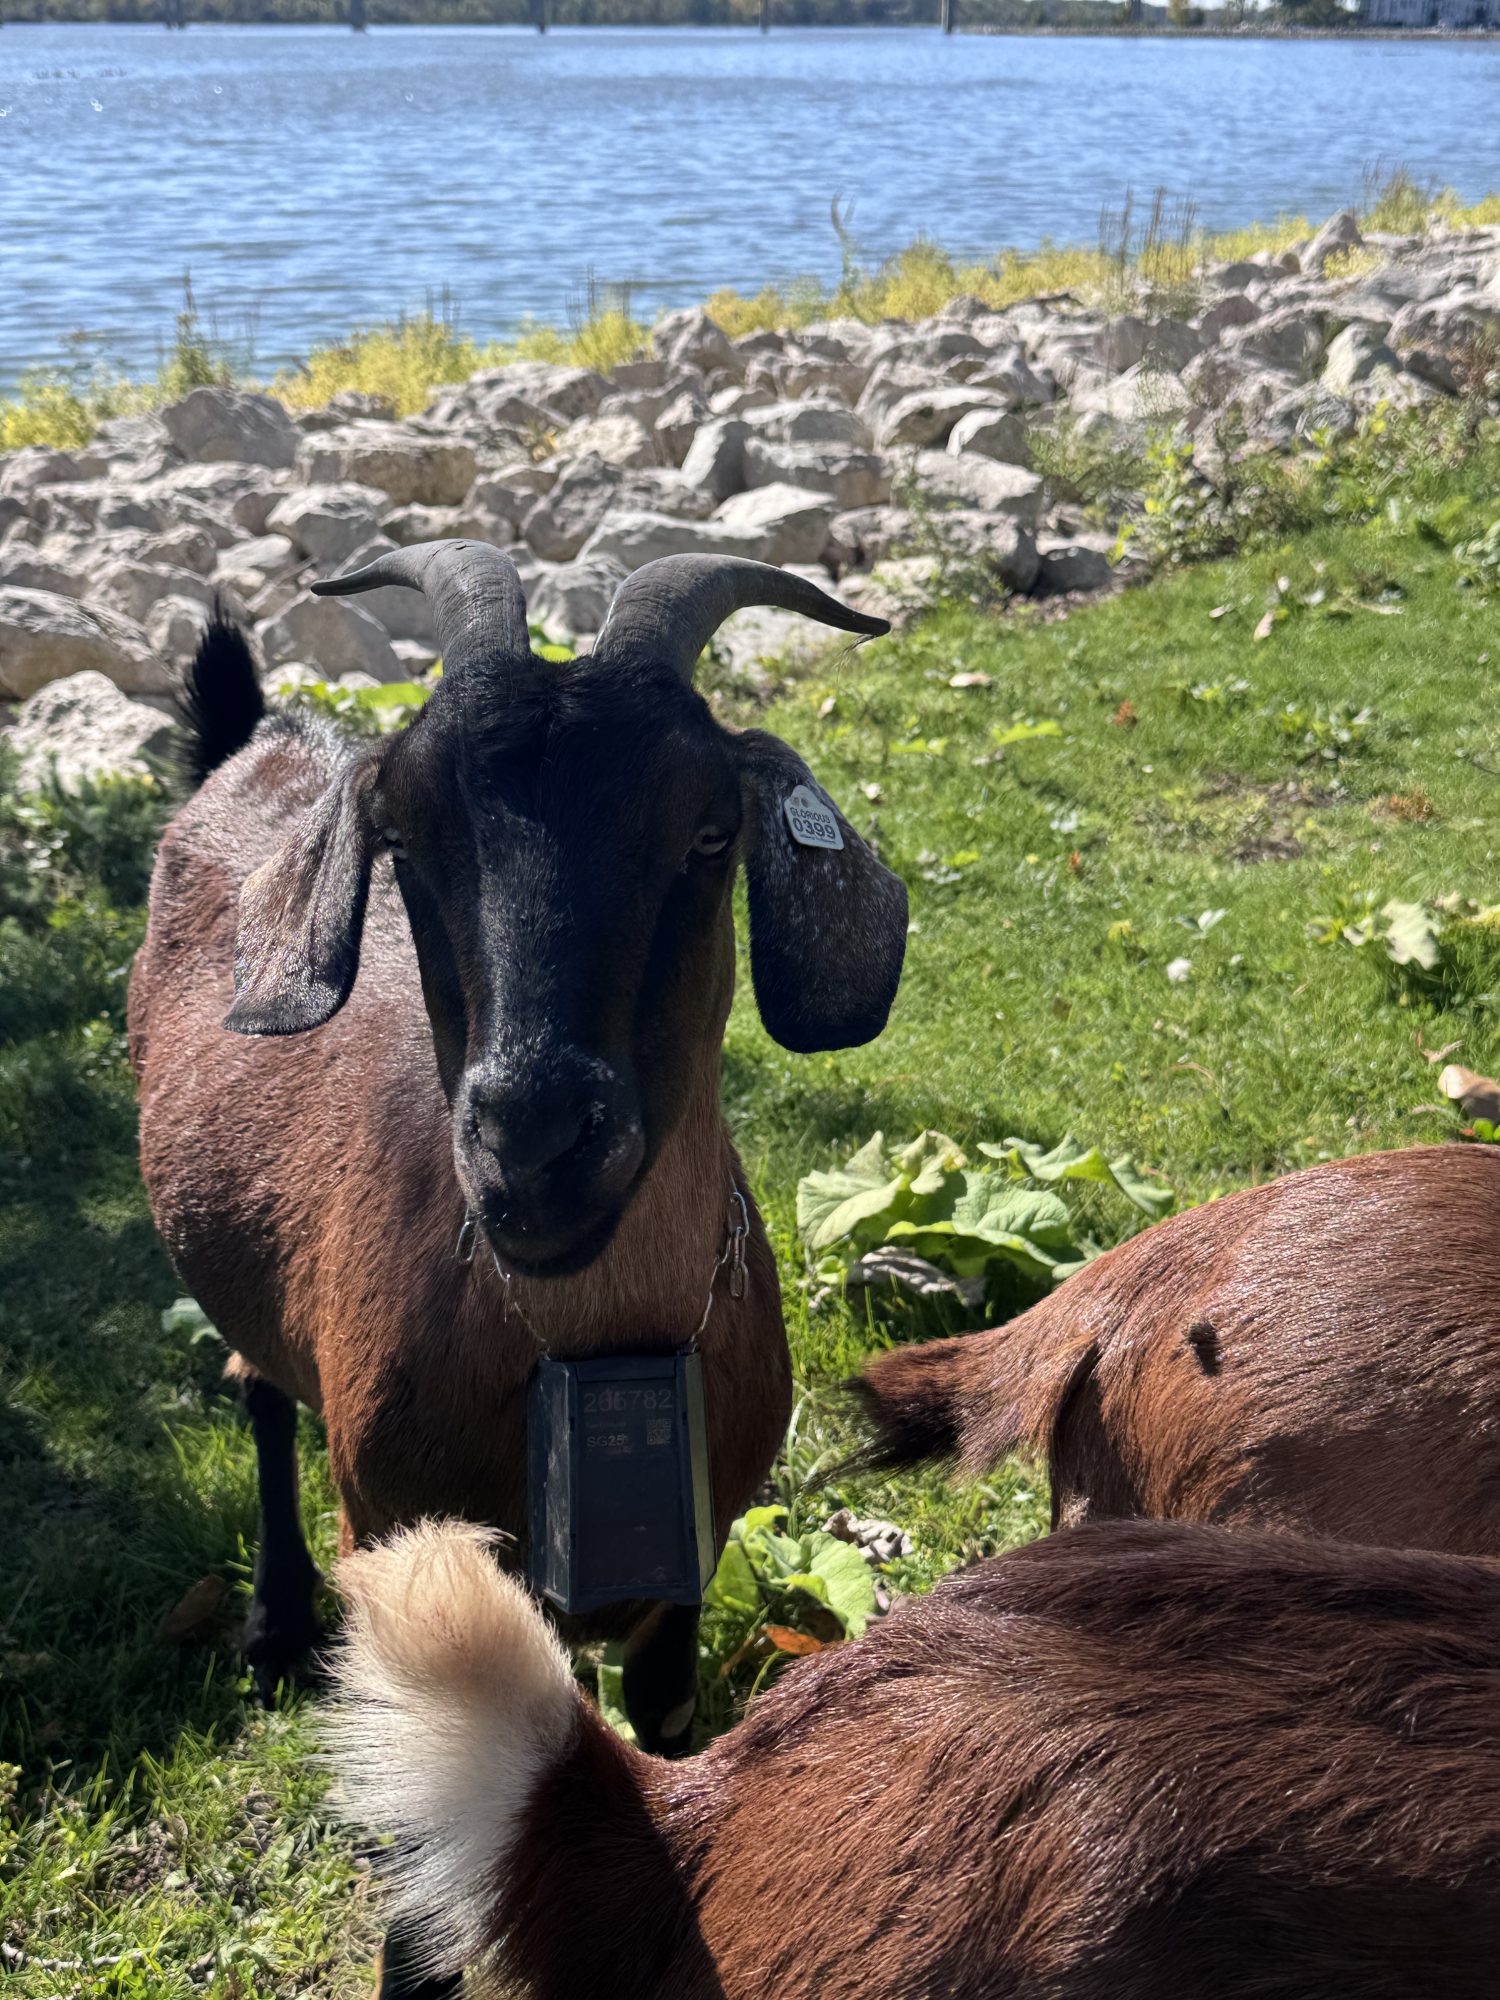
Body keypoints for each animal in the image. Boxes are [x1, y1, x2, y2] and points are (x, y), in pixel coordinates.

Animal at [128, 545, 907, 1998]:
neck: (586, 1352)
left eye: (708, 831)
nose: (533, 1144)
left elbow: (660, 1738)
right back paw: (270, 1622)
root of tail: (246, 741)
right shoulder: (401, 1557)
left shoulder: (695, 1556)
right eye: (403, 836)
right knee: (255, 1385)